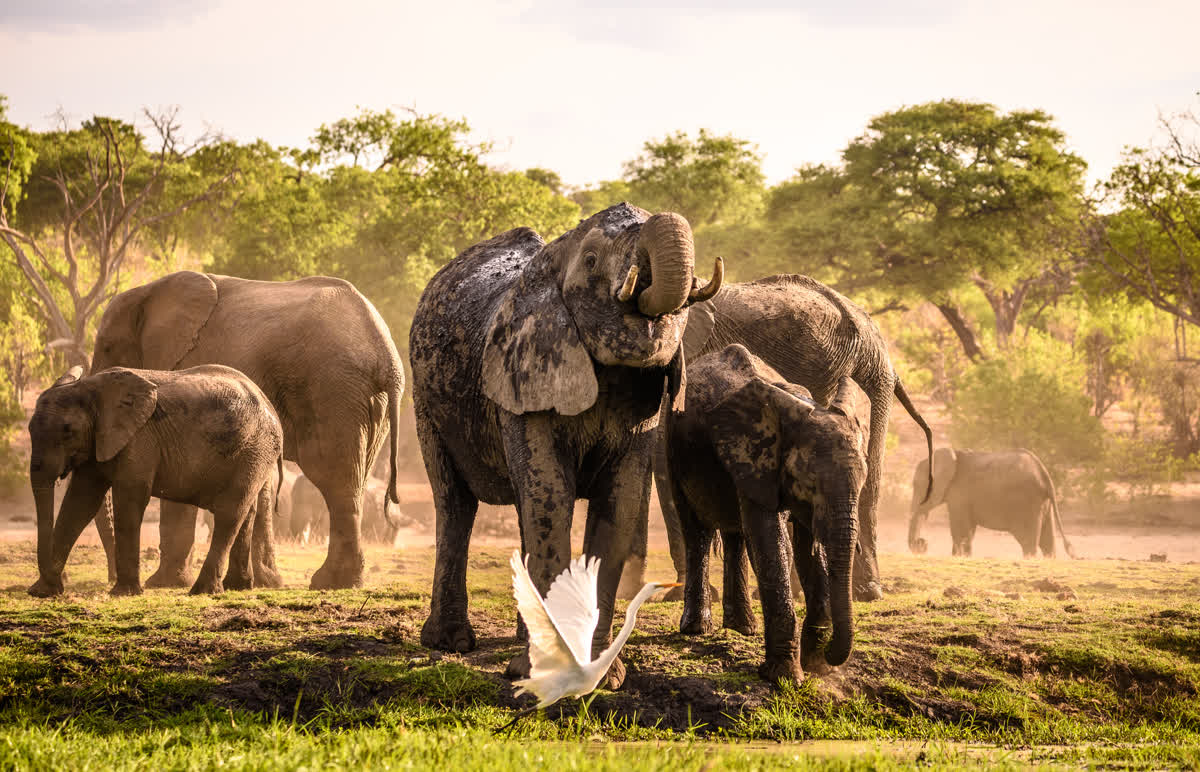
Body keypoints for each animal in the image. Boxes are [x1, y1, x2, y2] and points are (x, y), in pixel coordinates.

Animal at [28, 365, 283, 597]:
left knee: (230, 512)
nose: (57, 586)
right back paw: (237, 587)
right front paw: (42, 592)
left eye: (67, 430)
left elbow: (130, 496)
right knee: (246, 513)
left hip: (255, 449)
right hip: (254, 453)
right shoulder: (99, 441)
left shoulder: (140, 438)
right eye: (29, 429)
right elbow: (80, 502)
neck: (90, 387)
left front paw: (124, 593)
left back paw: (202, 591)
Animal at [88, 271, 405, 590]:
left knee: (335, 478)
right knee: (355, 479)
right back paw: (342, 580)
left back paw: (330, 582)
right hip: (367, 403)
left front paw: (164, 583)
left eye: (107, 347)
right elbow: (258, 486)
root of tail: (386, 356)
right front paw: (266, 582)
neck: (150, 292)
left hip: (333, 390)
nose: (110, 577)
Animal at [410, 203, 722, 688]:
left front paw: (602, 678)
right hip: (427, 402)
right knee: (456, 502)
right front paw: (541, 673)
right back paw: (450, 643)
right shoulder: (526, 374)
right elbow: (552, 496)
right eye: (591, 260)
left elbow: (618, 503)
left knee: (522, 508)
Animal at [667, 345, 867, 684]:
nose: (831, 655)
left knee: (735, 534)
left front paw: (816, 665)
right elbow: (771, 541)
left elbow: (806, 547)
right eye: (810, 482)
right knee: (697, 532)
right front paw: (785, 677)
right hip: (669, 449)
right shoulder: (755, 457)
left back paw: (742, 628)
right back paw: (697, 629)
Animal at [908, 448, 1075, 558]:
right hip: (1043, 504)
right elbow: (967, 530)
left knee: (1028, 542)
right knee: (1047, 542)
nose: (922, 544)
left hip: (1028, 503)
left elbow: (960, 529)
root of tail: (1044, 473)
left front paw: (959, 557)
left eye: (917, 485)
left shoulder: (959, 494)